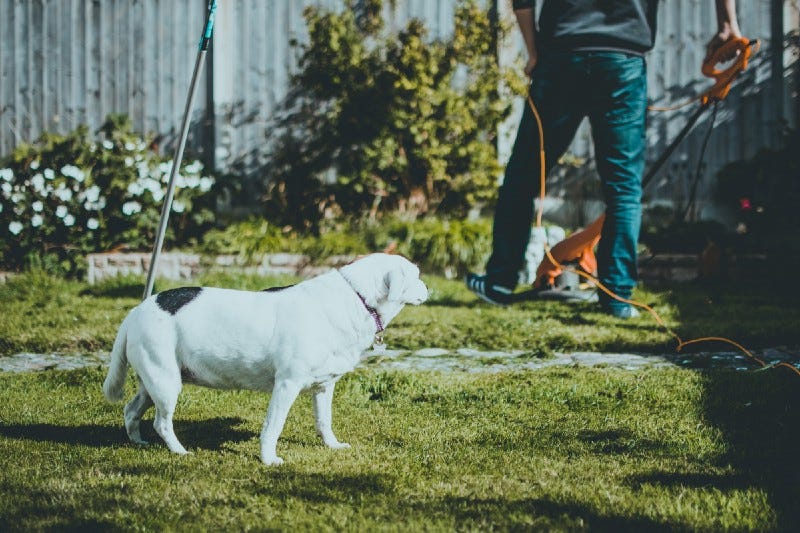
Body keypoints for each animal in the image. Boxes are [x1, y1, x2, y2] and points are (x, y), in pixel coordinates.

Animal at [103, 251, 428, 464]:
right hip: (166, 382)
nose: (428, 287)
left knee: (131, 410)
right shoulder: (287, 384)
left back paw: (138, 441)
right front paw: (269, 459)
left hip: (155, 380)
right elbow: (273, 426)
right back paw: (179, 450)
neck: (356, 297)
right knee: (162, 422)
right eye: (416, 275)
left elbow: (324, 421)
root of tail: (135, 311)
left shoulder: (324, 387)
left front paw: (332, 445)